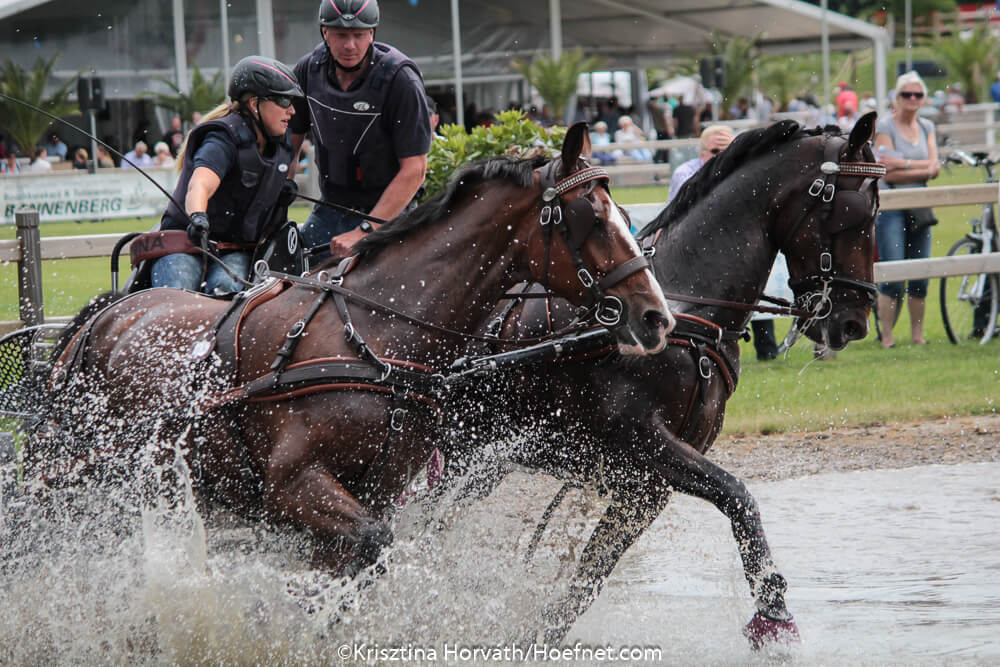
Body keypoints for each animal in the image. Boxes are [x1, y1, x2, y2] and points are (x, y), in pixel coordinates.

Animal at [22, 122, 675, 578]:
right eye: (592, 218)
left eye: (622, 212)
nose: (656, 317)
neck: (373, 337)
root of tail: (102, 316)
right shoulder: (293, 486)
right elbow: (365, 547)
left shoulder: (375, 494)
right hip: (71, 476)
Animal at [439, 113, 883, 647]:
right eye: (858, 215)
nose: (855, 321)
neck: (684, 309)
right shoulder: (643, 444)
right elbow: (739, 498)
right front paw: (773, 615)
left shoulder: (646, 485)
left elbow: (586, 581)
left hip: (487, 460)